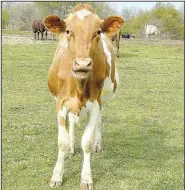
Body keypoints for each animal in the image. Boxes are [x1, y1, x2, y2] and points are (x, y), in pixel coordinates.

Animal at [43, 3, 124, 189]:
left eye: (98, 32)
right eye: (68, 31)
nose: (82, 64)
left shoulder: (95, 103)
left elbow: (86, 142)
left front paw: (86, 177)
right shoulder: (61, 104)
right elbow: (62, 141)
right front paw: (57, 174)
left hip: (103, 100)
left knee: (99, 121)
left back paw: (97, 144)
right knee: (72, 124)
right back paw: (72, 148)